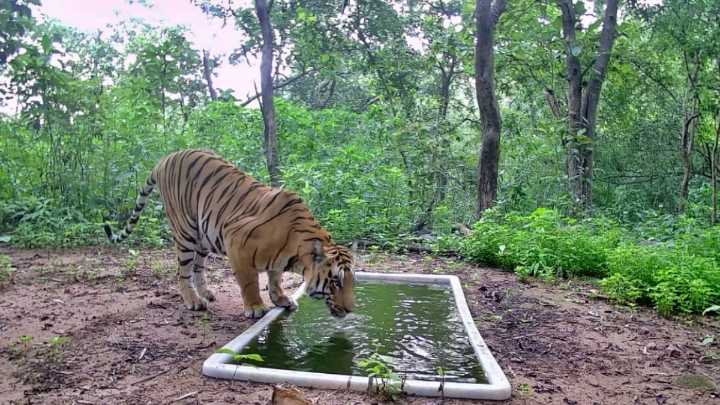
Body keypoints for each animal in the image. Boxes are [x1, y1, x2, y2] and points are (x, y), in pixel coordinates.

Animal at [103, 149, 354, 319]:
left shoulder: (275, 260)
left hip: (203, 236)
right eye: (336, 281)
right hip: (186, 232)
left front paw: (281, 299)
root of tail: (165, 159)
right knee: (182, 271)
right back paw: (194, 301)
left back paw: (206, 293)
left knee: (198, 266)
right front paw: (255, 308)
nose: (351, 309)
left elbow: (275, 278)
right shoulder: (236, 240)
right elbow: (250, 281)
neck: (294, 250)